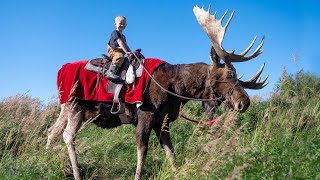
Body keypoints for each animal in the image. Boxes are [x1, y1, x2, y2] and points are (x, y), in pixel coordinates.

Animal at [45, 5, 268, 180]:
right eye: (230, 73)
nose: (244, 102)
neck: (178, 88)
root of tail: (60, 70)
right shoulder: (146, 115)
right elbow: (142, 151)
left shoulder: (163, 121)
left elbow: (171, 152)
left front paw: (177, 172)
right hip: (76, 105)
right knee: (68, 135)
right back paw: (76, 173)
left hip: (67, 107)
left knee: (52, 131)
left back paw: (45, 158)